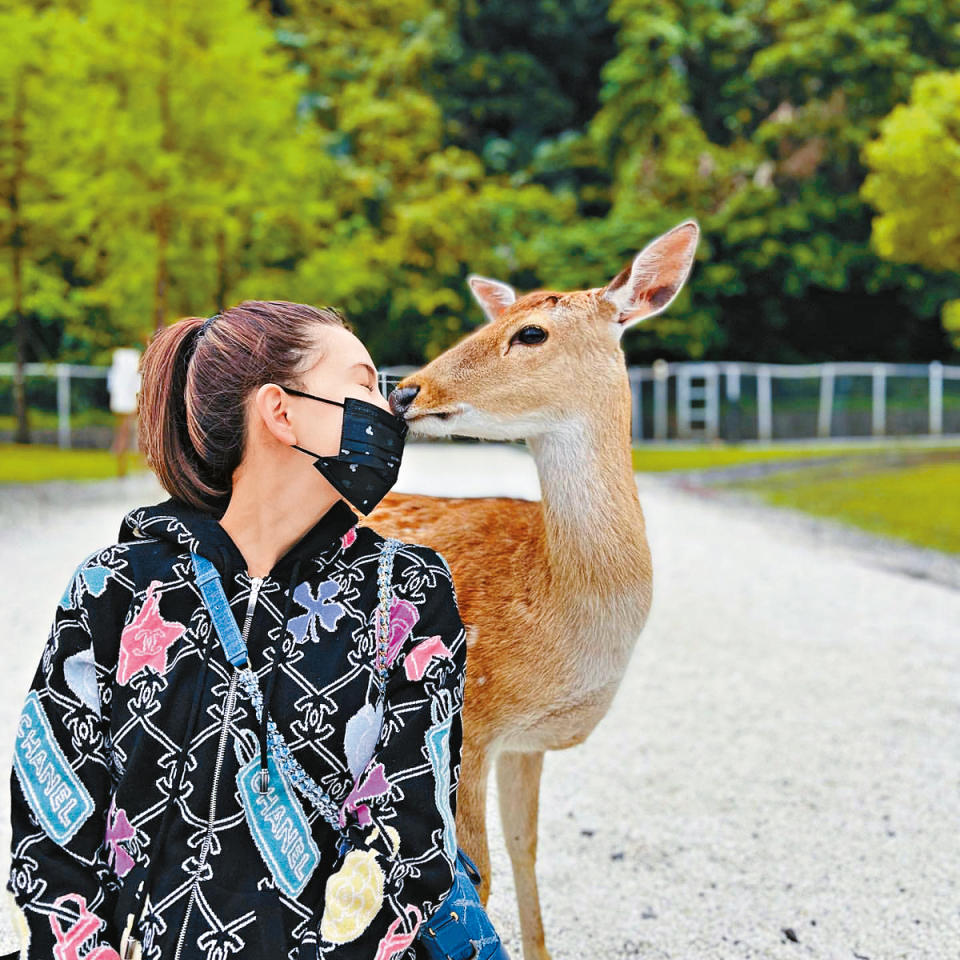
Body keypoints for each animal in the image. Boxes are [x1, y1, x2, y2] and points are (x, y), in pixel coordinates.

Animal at [356, 221, 700, 956]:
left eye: (532, 332)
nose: (405, 392)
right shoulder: (471, 723)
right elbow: (474, 877)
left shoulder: (523, 741)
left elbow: (524, 849)